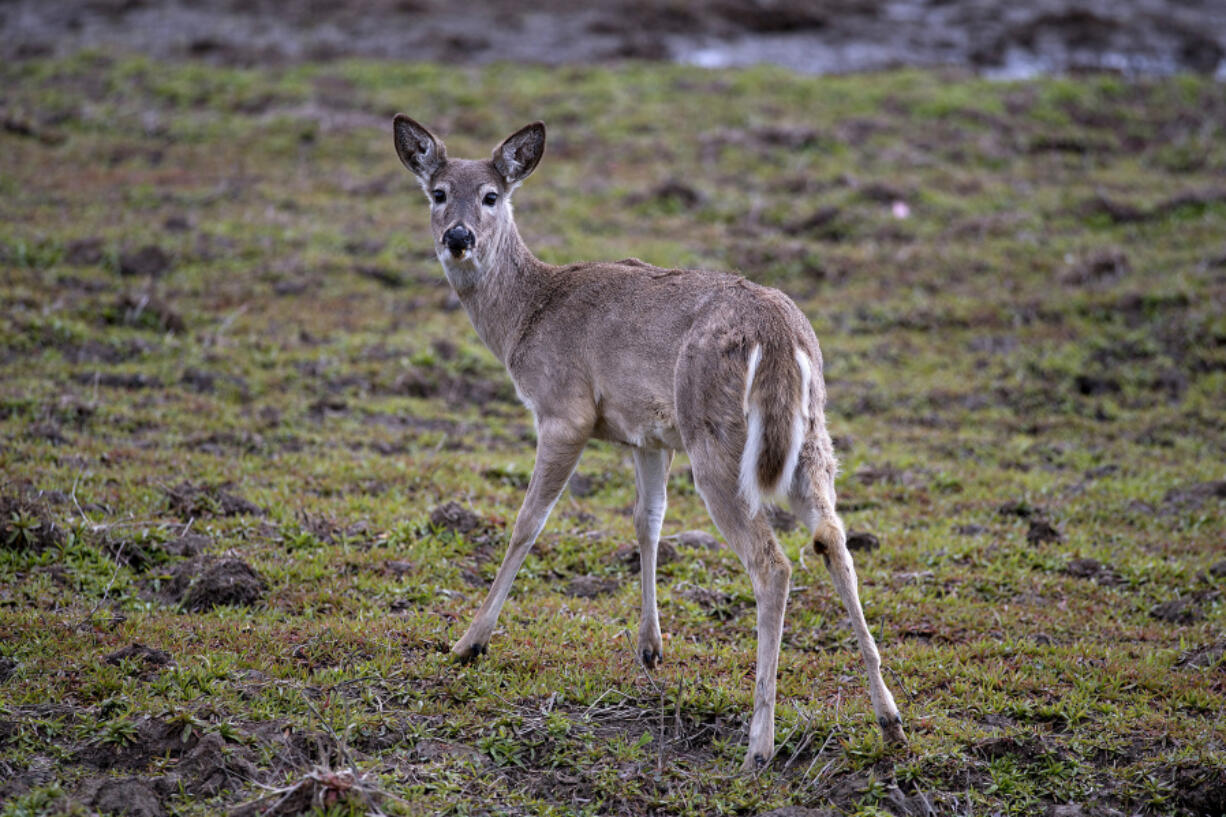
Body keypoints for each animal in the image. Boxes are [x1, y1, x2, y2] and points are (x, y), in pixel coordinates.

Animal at [394, 115, 912, 770]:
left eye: (491, 196)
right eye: (438, 193)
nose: (458, 237)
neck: (526, 318)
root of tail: (781, 337)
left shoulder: (564, 411)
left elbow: (527, 523)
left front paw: (468, 643)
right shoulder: (649, 435)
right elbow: (648, 520)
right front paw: (649, 649)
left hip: (718, 441)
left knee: (773, 564)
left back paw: (759, 745)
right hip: (809, 440)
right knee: (832, 538)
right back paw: (889, 719)